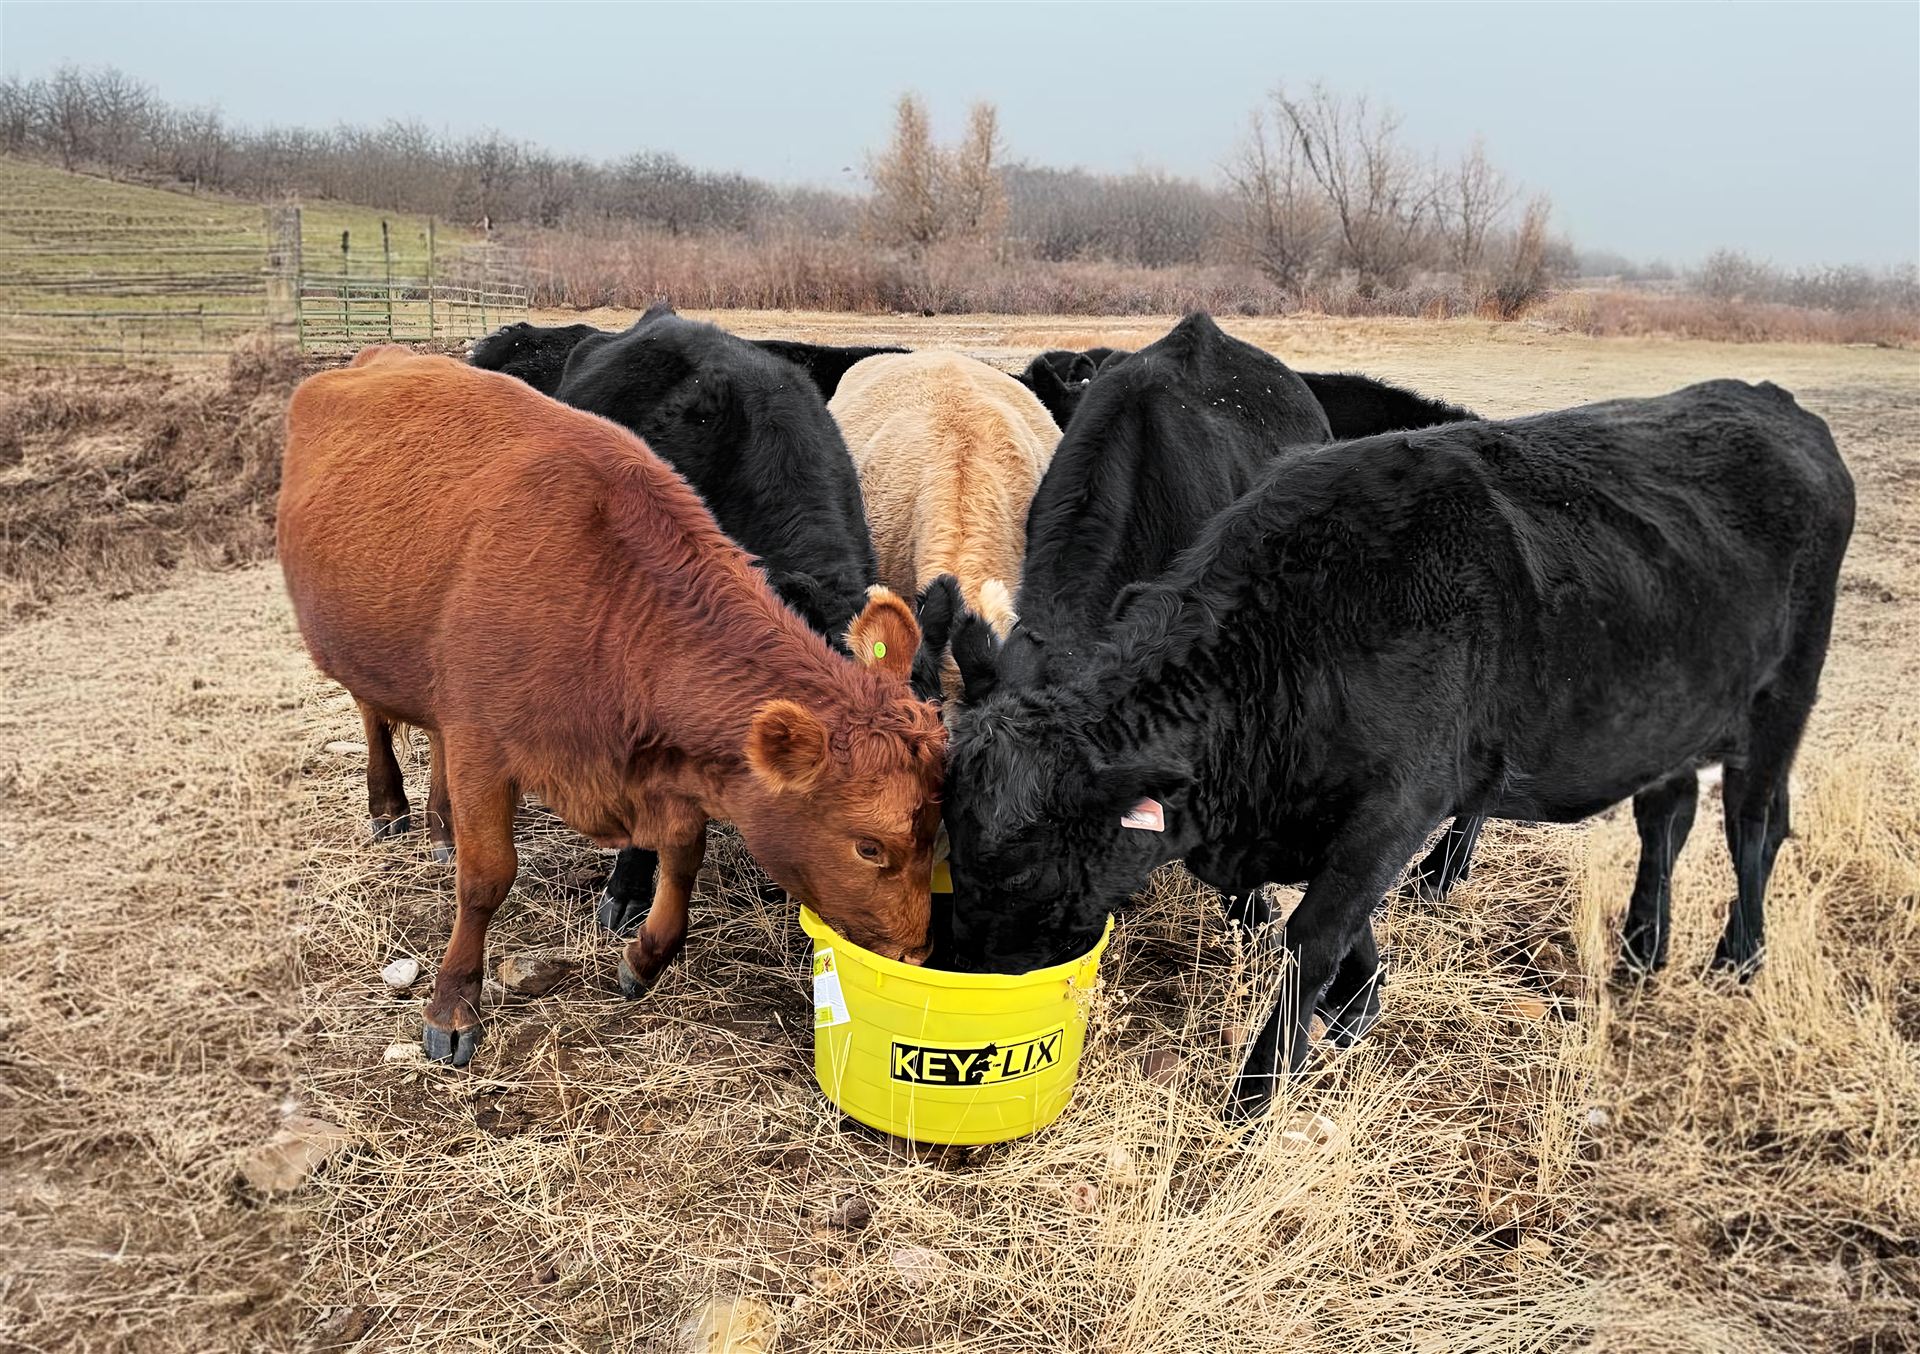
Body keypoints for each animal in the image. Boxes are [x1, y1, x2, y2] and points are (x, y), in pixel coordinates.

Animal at [278, 348, 946, 1067]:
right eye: (869, 846)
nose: (915, 953)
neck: (609, 603)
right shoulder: (484, 743)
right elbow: (486, 879)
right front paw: (452, 1005)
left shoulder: (663, 767)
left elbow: (682, 851)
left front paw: (646, 956)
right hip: (360, 648)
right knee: (374, 716)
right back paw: (390, 807)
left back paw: (439, 825)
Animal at [942, 380, 1852, 1123]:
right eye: (950, 851)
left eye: (1020, 873)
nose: (972, 987)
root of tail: (1772, 404)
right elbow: (1344, 927)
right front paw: (1356, 1006)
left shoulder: (1400, 803)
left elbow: (1316, 932)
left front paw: (1255, 1096)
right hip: (1667, 717)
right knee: (1667, 815)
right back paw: (1639, 951)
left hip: (1782, 698)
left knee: (1752, 826)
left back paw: (1738, 961)